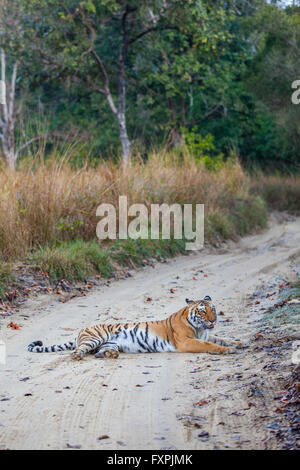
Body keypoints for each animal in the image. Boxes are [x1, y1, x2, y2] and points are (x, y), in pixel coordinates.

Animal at [27, 296, 244, 362]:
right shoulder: (186, 342)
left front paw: (239, 343)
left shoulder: (206, 334)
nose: (214, 319)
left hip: (110, 343)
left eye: (212, 309)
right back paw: (78, 356)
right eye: (202, 311)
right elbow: (210, 345)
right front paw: (228, 350)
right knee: (77, 351)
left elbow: (221, 339)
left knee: (99, 353)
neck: (199, 327)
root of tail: (81, 331)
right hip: (94, 338)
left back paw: (110, 356)